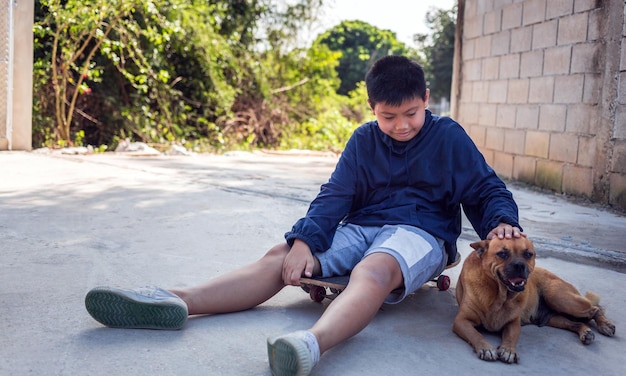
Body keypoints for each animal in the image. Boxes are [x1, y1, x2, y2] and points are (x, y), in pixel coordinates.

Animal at [450, 236, 612, 362]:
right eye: (502, 253)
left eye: (528, 254)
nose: (519, 265)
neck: (499, 296)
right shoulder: (462, 321)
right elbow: (475, 334)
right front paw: (485, 347)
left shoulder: (513, 324)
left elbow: (511, 337)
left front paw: (508, 350)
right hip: (555, 317)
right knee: (577, 322)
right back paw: (586, 332)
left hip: (560, 298)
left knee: (595, 308)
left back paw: (605, 325)